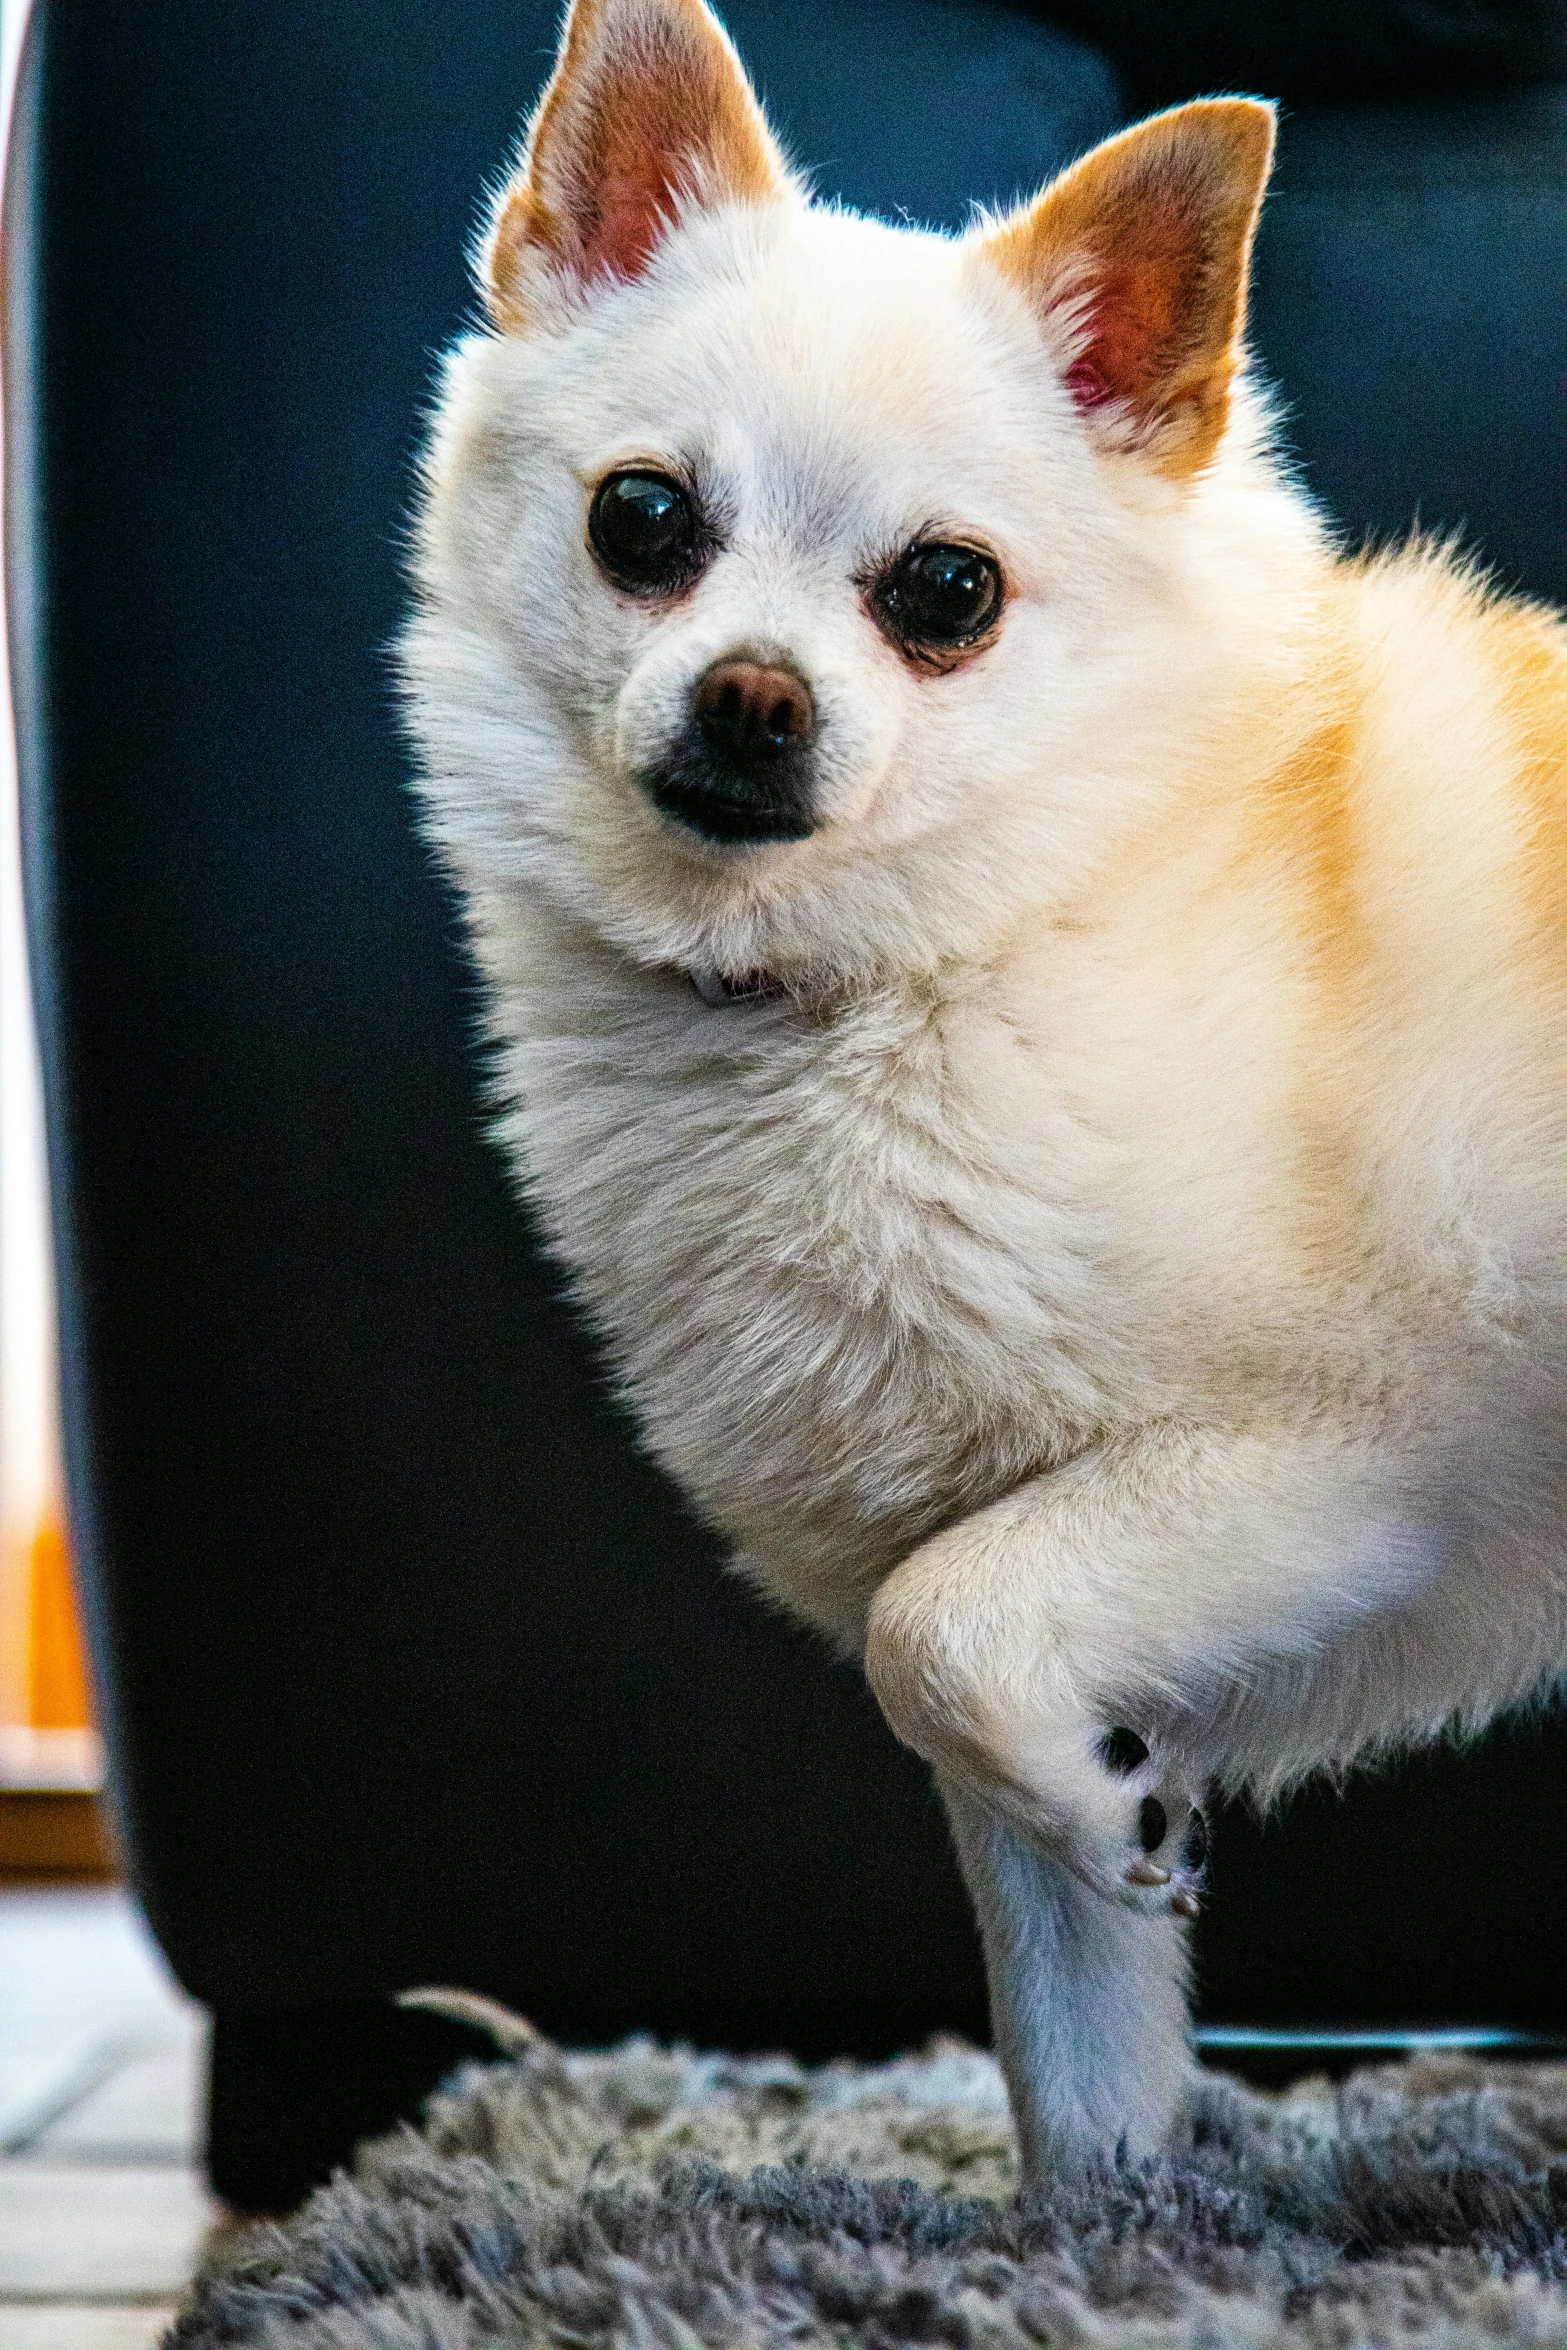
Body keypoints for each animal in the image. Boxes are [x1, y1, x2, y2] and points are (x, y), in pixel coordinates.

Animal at [394, 0, 1567, 2180]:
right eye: (641, 522)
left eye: (945, 593)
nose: (752, 697)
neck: (909, 974)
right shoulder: (1022, 1573)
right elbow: (1067, 2019)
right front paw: (1107, 2217)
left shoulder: (1352, 1457)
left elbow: (934, 1633)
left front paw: (1120, 1808)